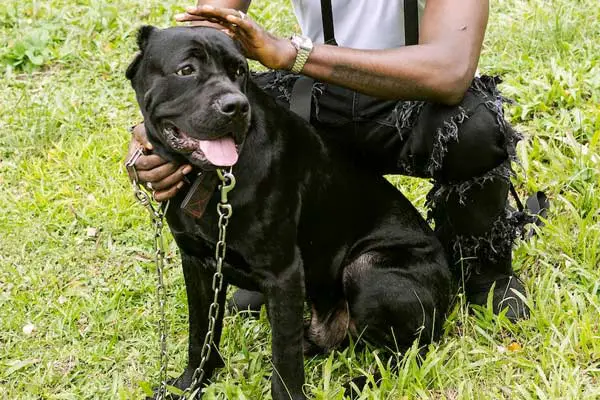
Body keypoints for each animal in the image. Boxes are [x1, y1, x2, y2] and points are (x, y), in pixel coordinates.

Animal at [127, 25, 454, 400]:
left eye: (239, 71)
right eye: (186, 70)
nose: (235, 107)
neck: (212, 179)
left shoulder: (282, 271)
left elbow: (284, 358)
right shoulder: (197, 262)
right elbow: (201, 335)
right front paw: (190, 384)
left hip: (367, 267)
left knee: (406, 352)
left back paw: (357, 385)